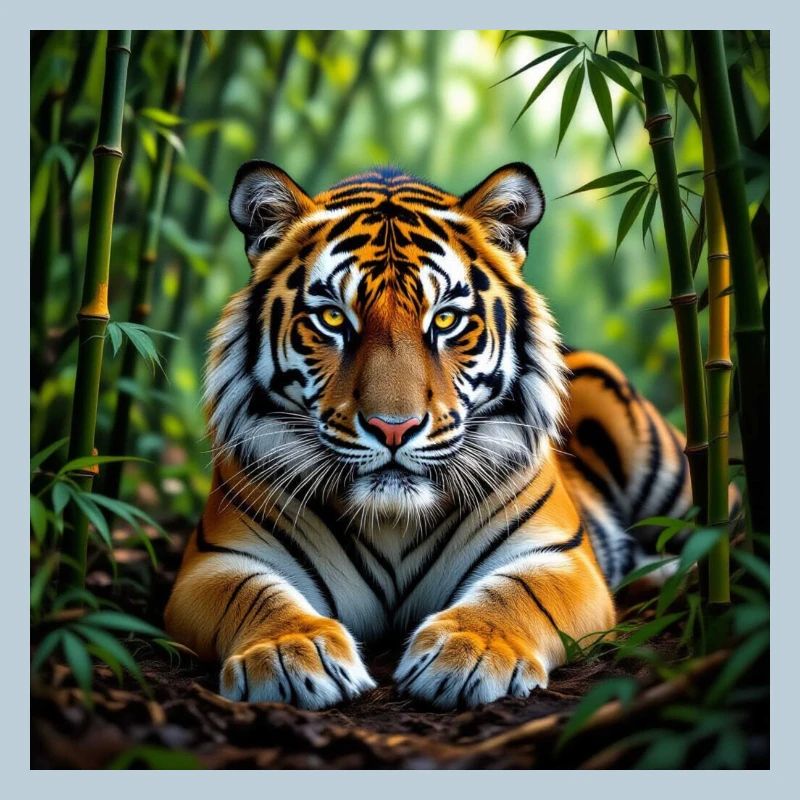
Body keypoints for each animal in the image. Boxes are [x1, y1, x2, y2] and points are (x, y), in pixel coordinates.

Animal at [165, 161, 697, 711]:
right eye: (332, 317)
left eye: (445, 319)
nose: (392, 428)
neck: (392, 521)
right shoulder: (218, 561)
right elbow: (255, 595)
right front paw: (288, 652)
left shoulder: (558, 557)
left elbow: (517, 594)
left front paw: (472, 651)